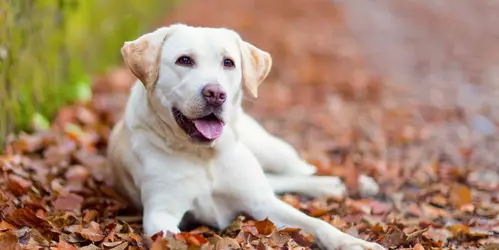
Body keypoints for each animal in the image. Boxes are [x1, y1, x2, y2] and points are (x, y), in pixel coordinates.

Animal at [107, 23, 384, 250]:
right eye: (184, 60)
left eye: (228, 62)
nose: (215, 94)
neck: (204, 155)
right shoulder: (161, 214)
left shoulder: (263, 204)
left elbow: (316, 223)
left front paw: (355, 243)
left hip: (271, 150)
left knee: (300, 170)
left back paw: (350, 183)